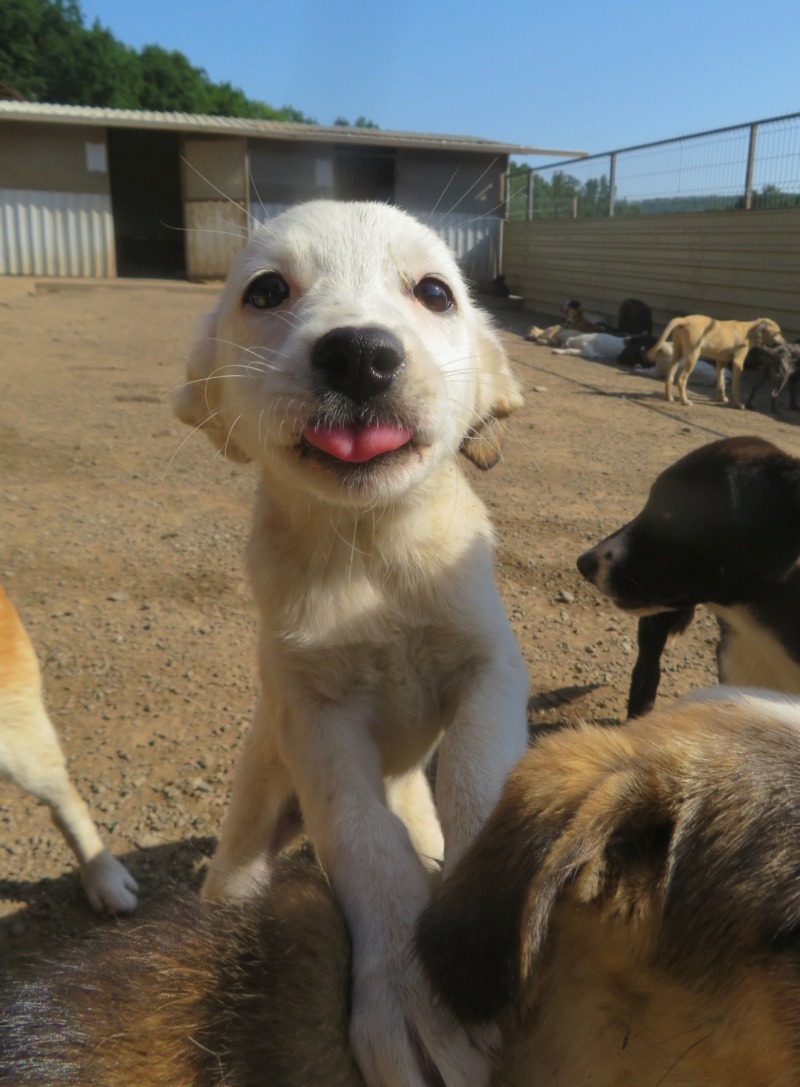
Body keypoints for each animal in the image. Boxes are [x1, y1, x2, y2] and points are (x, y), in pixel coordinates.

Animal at [171, 197, 528, 1087]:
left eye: (435, 291)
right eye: (266, 290)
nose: (361, 354)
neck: (370, 552)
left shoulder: (492, 666)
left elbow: (476, 774)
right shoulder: (313, 717)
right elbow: (360, 836)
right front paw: (404, 987)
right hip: (249, 827)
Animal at [647, 315, 782, 408]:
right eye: (777, 333)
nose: (782, 344)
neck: (748, 330)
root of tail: (684, 320)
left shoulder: (721, 362)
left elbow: (721, 384)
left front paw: (721, 398)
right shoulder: (738, 363)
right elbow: (735, 388)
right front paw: (738, 404)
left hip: (677, 354)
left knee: (669, 377)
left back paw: (668, 398)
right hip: (692, 356)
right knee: (681, 379)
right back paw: (685, 401)